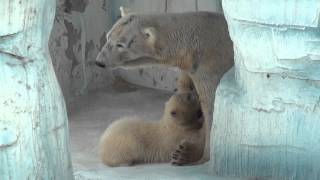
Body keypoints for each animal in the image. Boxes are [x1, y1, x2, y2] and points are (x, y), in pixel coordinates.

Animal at [96, 7, 234, 165]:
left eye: (120, 44)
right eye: (108, 37)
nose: (99, 61)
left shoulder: (211, 64)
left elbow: (211, 107)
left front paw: (196, 155)